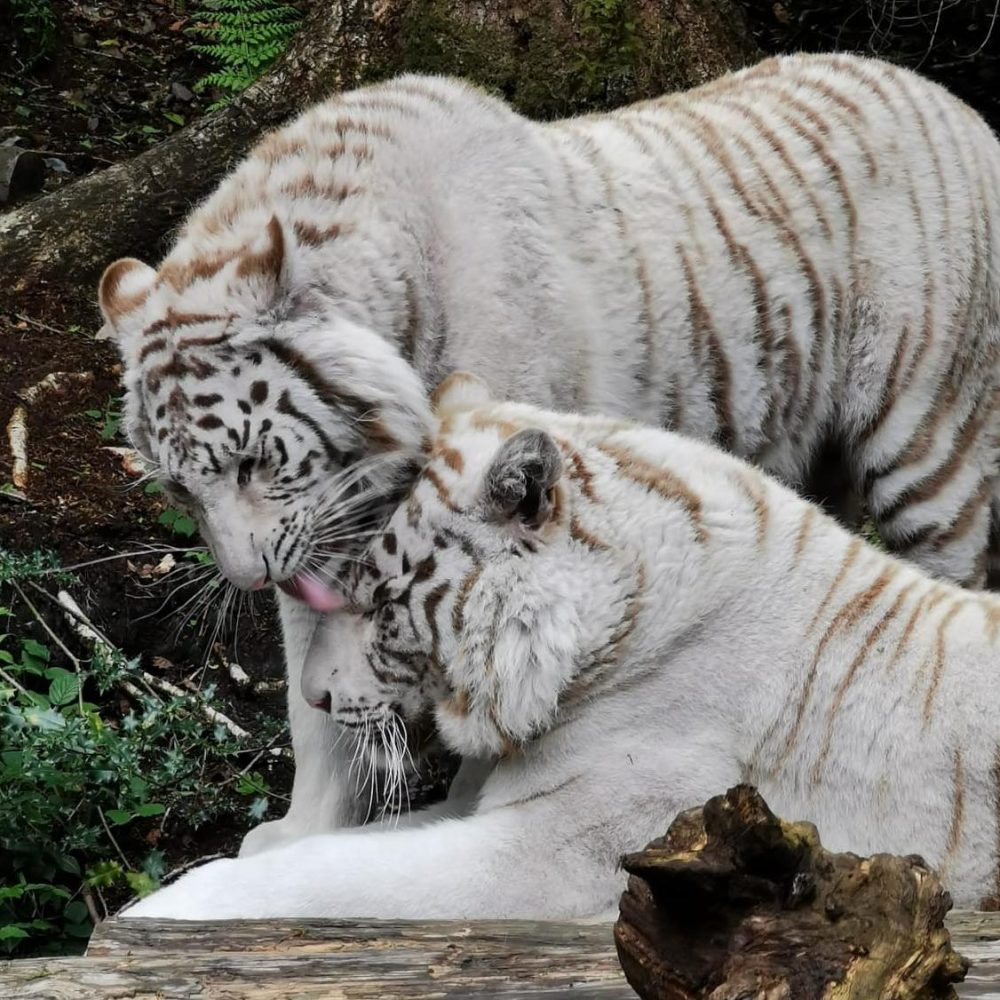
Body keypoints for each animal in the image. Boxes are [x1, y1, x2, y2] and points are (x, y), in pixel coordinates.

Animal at [97, 53, 1000, 853]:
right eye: (179, 490)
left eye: (251, 463)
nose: (246, 578)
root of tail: (958, 107)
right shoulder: (318, 547)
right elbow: (312, 702)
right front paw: (303, 829)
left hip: (932, 452)